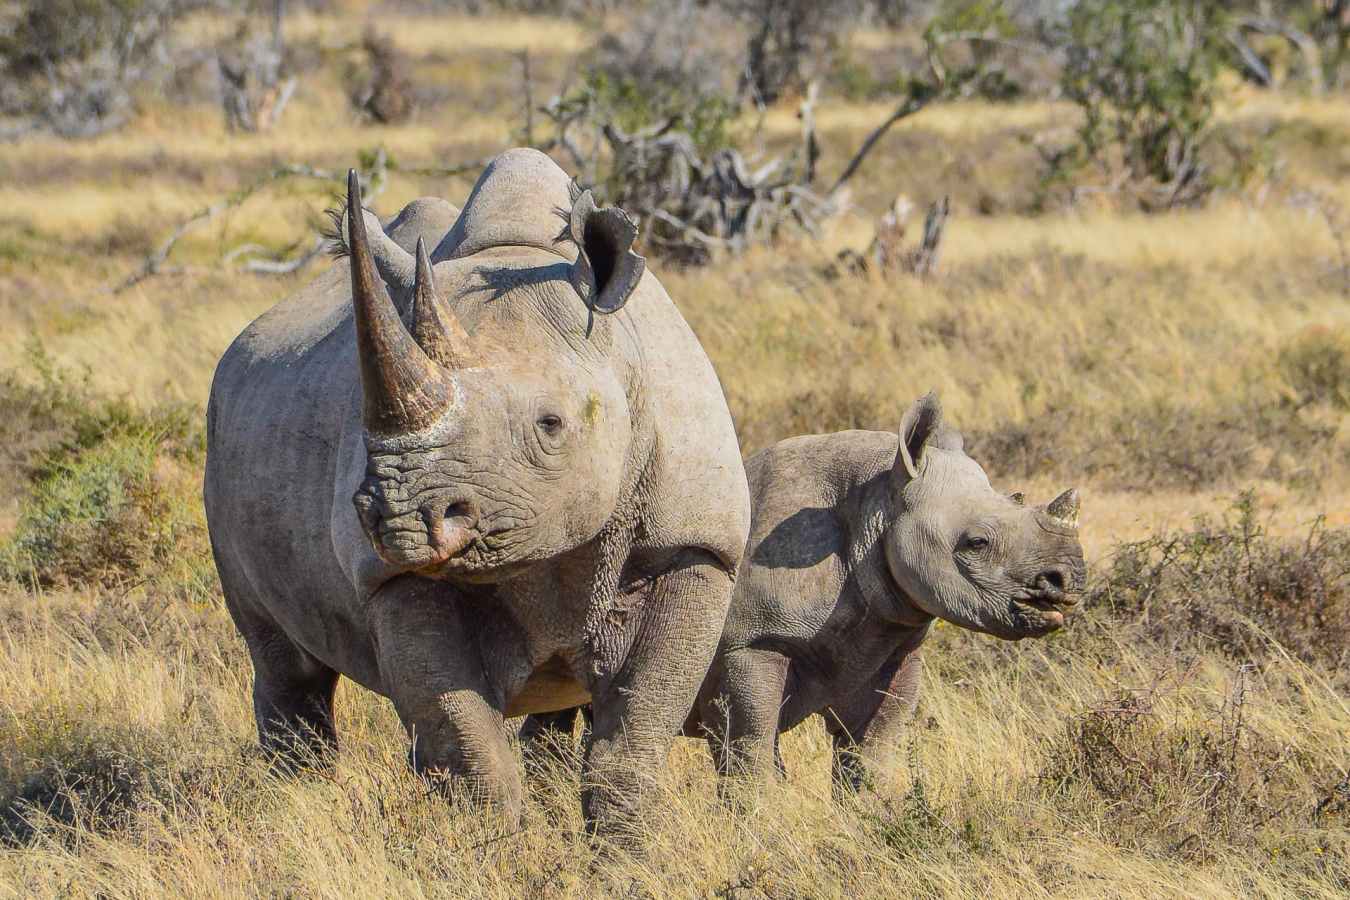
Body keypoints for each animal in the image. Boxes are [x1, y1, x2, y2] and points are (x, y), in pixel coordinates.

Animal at [203, 149, 750, 840]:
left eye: (551, 426)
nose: (401, 518)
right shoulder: (392, 577)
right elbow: (467, 747)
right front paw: (491, 851)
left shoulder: (694, 545)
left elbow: (634, 739)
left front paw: (627, 854)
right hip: (222, 433)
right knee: (284, 663)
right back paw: (296, 806)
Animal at [522, 392, 1085, 790]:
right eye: (976, 542)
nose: (1068, 582)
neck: (878, 501)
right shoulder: (752, 642)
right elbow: (751, 747)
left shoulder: (893, 641)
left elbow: (873, 753)